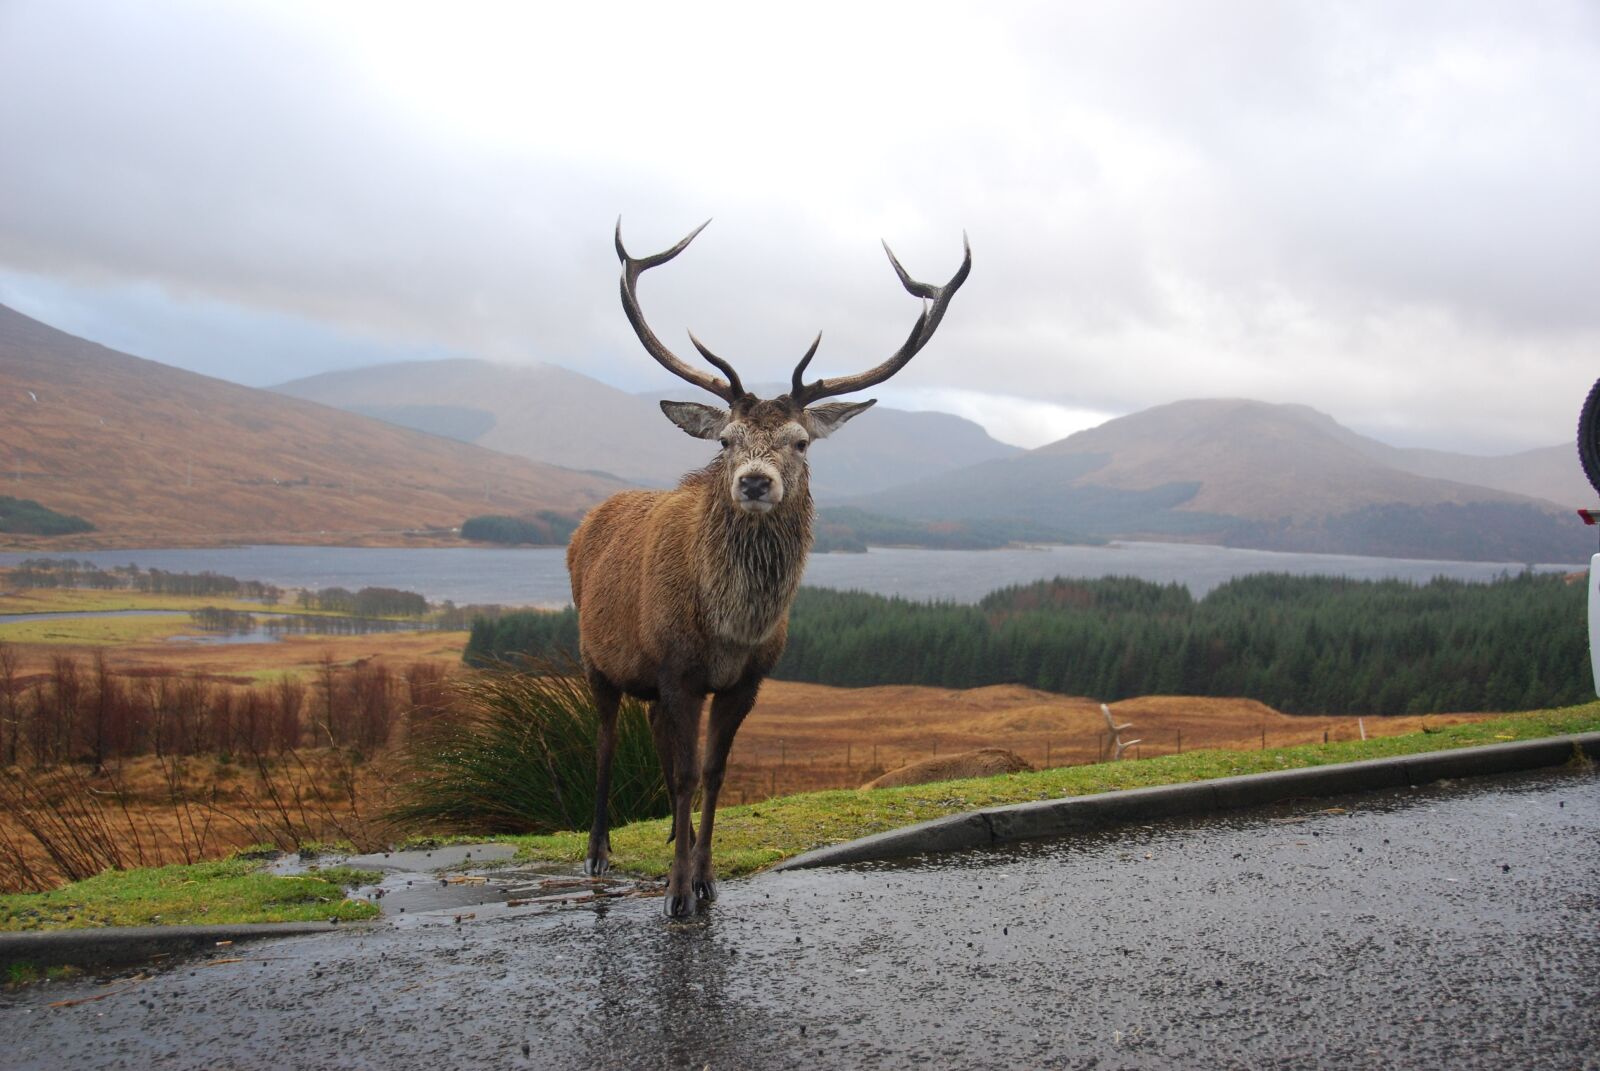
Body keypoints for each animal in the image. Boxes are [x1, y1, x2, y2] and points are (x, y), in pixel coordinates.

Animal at [565, 219, 970, 916]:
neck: (730, 628)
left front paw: (704, 878)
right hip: (597, 658)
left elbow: (714, 773)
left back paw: (672, 838)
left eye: (800, 442)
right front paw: (677, 894)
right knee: (606, 741)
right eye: (727, 440)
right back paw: (598, 852)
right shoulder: (676, 669)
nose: (755, 481)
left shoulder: (747, 680)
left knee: (656, 740)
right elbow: (684, 774)